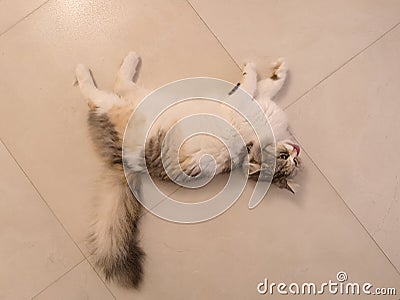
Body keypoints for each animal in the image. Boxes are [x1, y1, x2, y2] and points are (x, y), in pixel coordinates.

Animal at [74, 51, 300, 288]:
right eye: (285, 157)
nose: (297, 151)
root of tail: (122, 162)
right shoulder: (253, 99)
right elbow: (266, 85)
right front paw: (277, 70)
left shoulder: (241, 103)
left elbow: (253, 83)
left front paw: (258, 69)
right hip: (143, 99)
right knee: (117, 84)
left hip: (117, 105)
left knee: (104, 91)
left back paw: (92, 67)